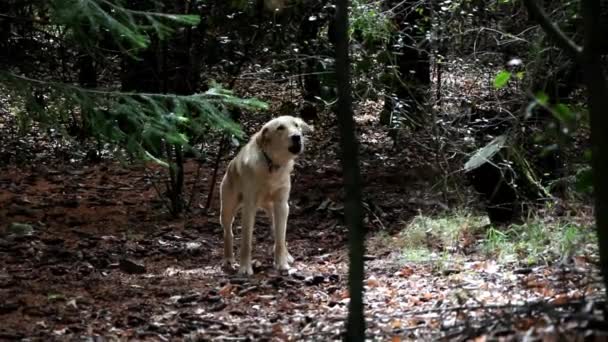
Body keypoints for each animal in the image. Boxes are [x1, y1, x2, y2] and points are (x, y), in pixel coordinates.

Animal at [220, 115, 314, 276]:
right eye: (280, 128)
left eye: (296, 125)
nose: (297, 137)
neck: (271, 165)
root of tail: (229, 167)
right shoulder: (249, 207)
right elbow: (246, 242)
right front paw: (245, 268)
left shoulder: (282, 205)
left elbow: (280, 239)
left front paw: (282, 264)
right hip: (226, 211)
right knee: (228, 233)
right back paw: (228, 259)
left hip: (274, 211)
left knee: (277, 233)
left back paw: (287, 256)